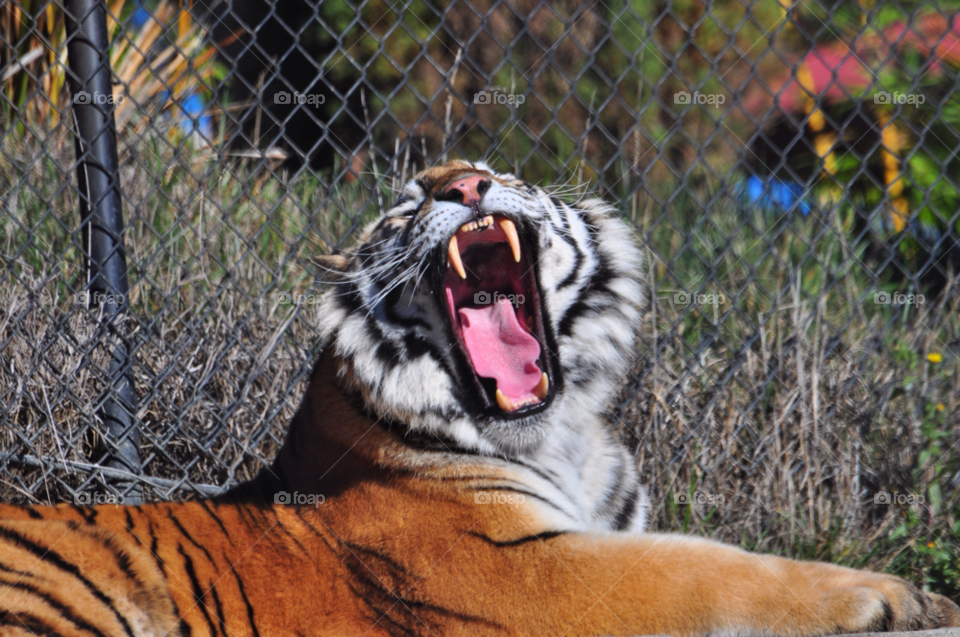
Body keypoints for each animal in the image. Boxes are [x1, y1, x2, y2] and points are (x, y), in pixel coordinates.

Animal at [0, 159, 957, 637]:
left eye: (493, 171)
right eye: (405, 203)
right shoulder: (530, 566)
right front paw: (898, 597)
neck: (563, 433)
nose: (459, 184)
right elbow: (718, 567)